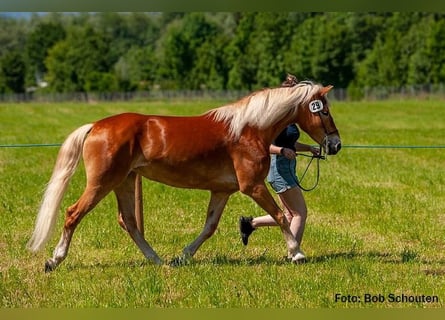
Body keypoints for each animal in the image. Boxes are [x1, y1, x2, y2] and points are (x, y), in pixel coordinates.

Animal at [27, 79, 340, 272]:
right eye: (323, 110)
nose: (335, 144)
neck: (248, 130)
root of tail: (95, 126)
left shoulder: (222, 191)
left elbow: (209, 227)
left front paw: (183, 256)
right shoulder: (253, 186)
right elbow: (280, 216)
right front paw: (296, 253)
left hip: (125, 181)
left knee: (128, 221)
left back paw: (157, 260)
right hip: (102, 183)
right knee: (73, 213)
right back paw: (53, 260)